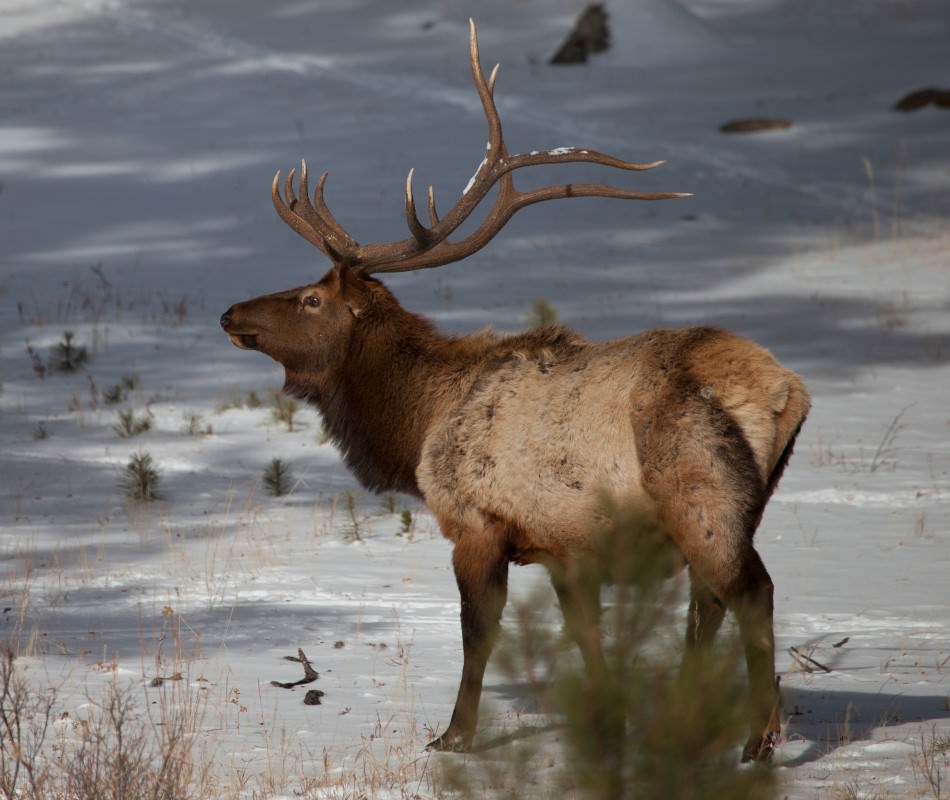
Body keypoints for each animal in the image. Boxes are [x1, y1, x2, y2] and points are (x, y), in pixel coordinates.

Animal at [221, 20, 812, 764]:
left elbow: (480, 636)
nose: (229, 314)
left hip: (703, 492)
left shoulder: (475, 524)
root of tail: (785, 389)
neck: (416, 424)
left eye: (309, 299)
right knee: (708, 605)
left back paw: (759, 740)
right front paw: (608, 728)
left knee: (751, 594)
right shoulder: (564, 547)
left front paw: (454, 735)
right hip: (740, 504)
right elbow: (586, 639)